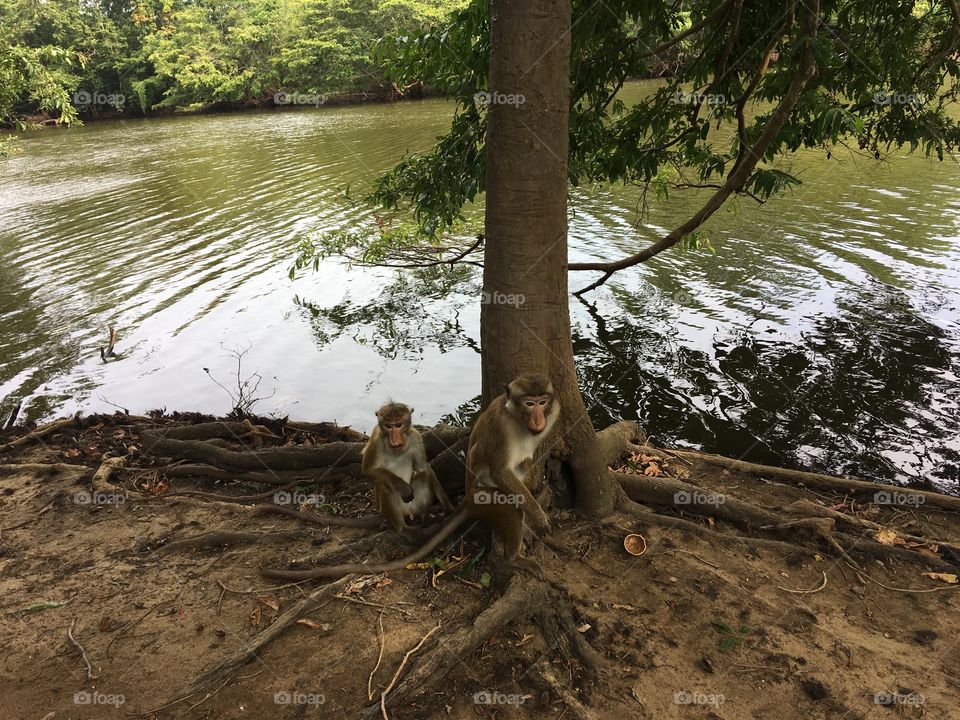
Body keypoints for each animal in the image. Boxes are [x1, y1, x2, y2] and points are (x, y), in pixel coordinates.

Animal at [362, 402, 454, 535]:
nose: (395, 439)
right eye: (388, 426)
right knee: (384, 485)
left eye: (398, 425)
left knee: (424, 475)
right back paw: (404, 528)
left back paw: (425, 517)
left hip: (415, 505)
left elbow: (423, 467)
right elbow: (369, 469)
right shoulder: (376, 440)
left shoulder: (416, 436)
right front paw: (402, 487)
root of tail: (409, 512)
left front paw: (448, 507)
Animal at [464, 372, 560, 563]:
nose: (538, 420)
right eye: (529, 403)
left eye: (542, 402)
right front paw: (538, 516)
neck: (516, 419)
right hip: (480, 497)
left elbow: (527, 461)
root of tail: (467, 499)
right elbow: (500, 472)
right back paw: (514, 560)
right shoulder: (502, 429)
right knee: (511, 509)